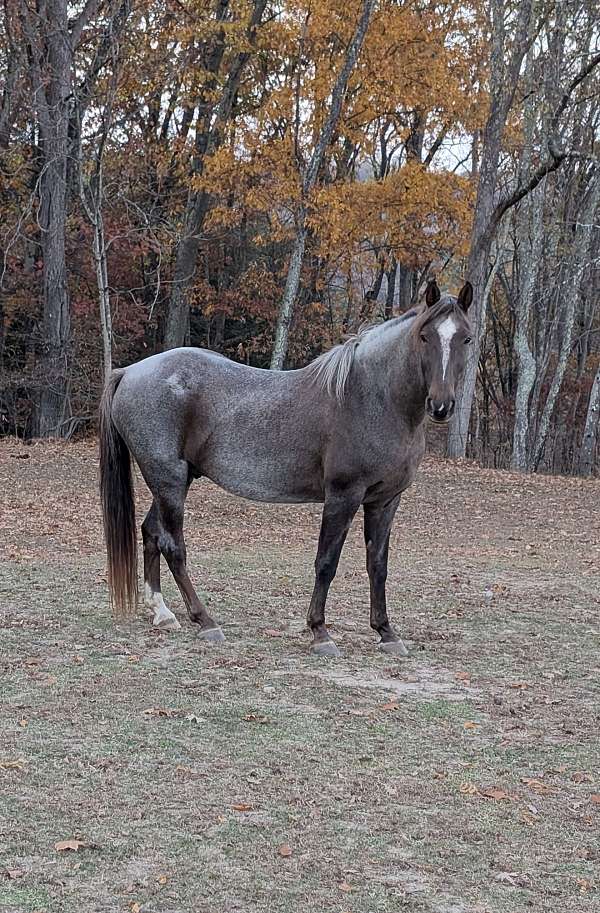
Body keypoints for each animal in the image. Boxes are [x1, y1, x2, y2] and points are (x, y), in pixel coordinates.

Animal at [99, 279, 473, 657]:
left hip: (174, 481)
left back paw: (162, 612)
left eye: (466, 338)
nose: (441, 406)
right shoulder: (343, 496)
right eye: (424, 336)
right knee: (173, 546)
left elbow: (377, 565)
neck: (372, 398)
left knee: (151, 532)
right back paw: (205, 621)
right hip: (168, 480)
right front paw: (320, 632)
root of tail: (130, 371)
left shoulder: (385, 501)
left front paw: (386, 632)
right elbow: (326, 563)